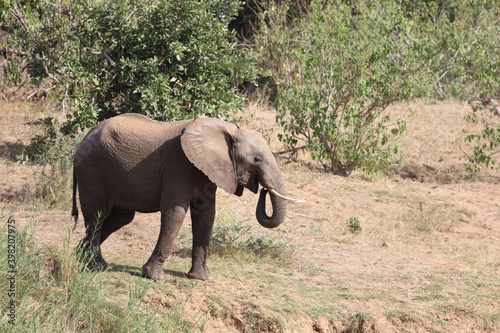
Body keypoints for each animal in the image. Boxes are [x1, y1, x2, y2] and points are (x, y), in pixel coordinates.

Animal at [72, 113, 300, 280]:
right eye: (257, 159)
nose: (263, 189)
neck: (229, 131)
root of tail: (83, 138)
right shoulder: (179, 166)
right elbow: (175, 213)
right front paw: (154, 277)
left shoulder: (206, 171)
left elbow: (206, 215)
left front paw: (202, 278)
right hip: (92, 170)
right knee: (98, 215)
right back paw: (98, 266)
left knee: (121, 218)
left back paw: (80, 256)